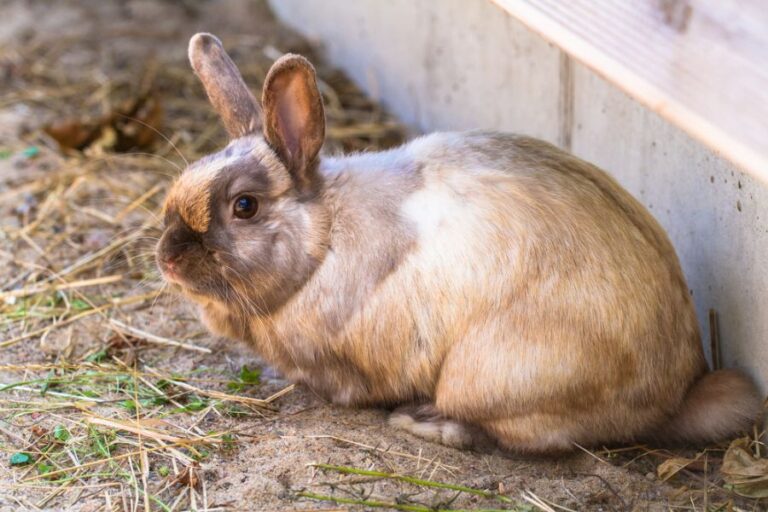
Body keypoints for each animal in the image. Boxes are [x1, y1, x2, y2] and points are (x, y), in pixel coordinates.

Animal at [156, 32, 762, 453]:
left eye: (245, 206)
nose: (168, 258)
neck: (322, 242)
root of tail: (672, 396)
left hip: (490, 377)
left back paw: (425, 423)